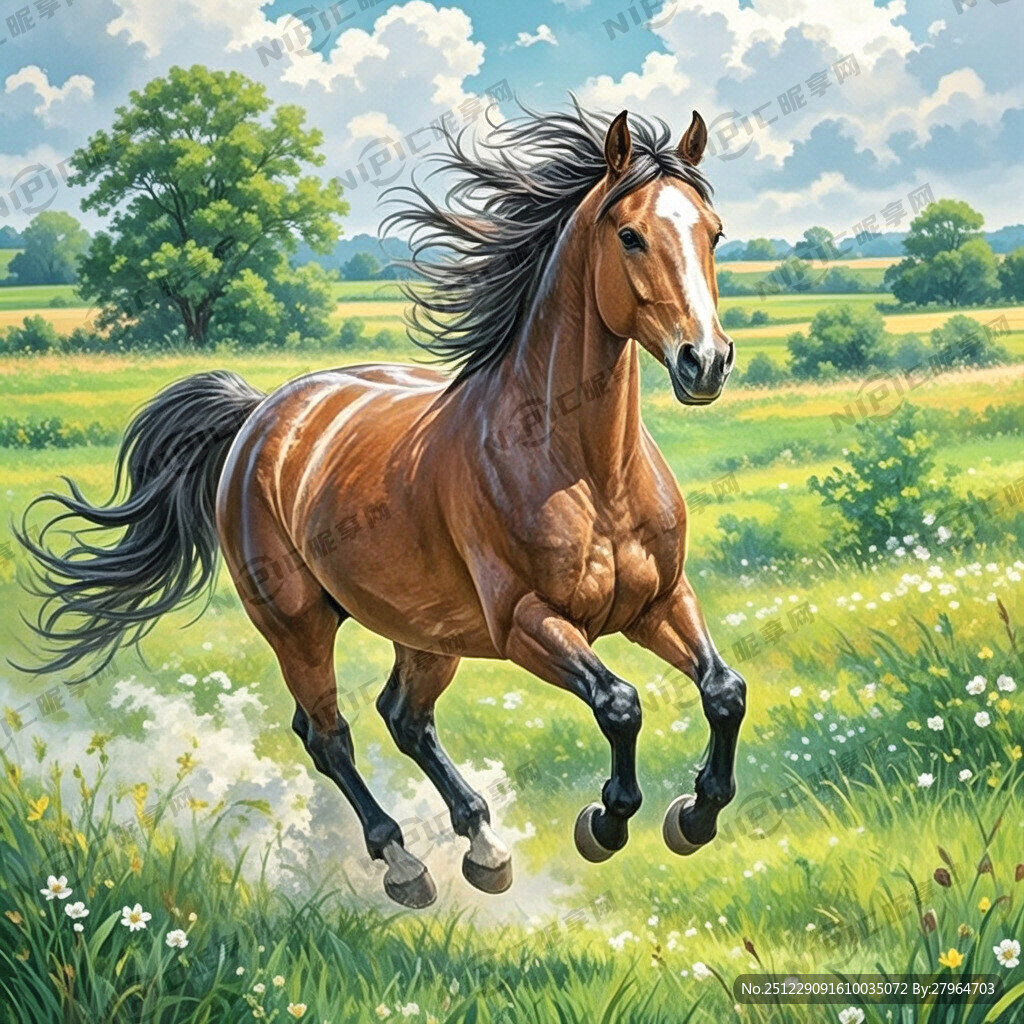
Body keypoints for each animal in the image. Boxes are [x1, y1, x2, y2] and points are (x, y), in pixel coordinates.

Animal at [18, 101, 745, 909]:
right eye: (630, 235)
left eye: (713, 232)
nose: (705, 362)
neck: (587, 470)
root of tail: (260, 414)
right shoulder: (528, 623)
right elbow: (620, 702)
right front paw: (607, 822)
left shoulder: (661, 601)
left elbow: (724, 691)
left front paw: (695, 816)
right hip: (297, 622)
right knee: (327, 732)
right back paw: (402, 863)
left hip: (425, 629)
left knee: (405, 718)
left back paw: (485, 848)